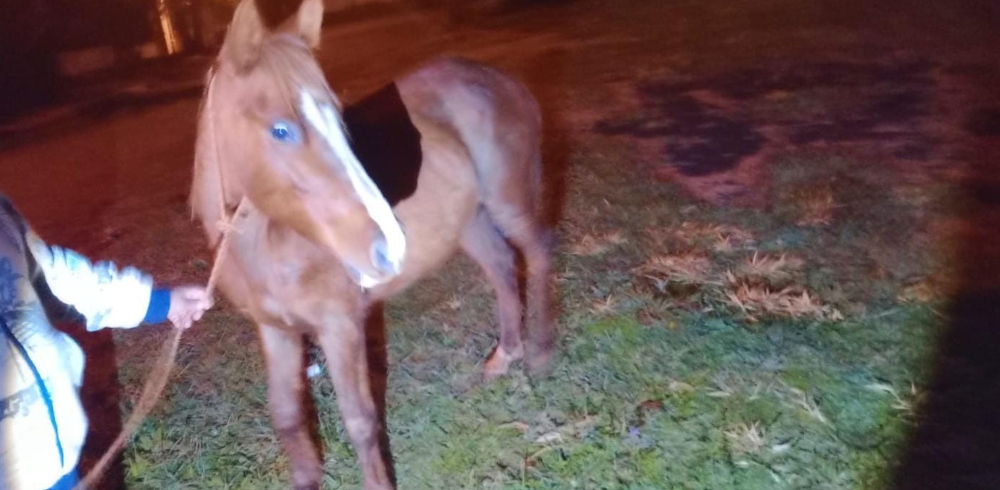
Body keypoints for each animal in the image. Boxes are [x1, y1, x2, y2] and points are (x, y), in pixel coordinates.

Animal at [188, 0, 555, 488]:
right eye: (281, 130)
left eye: (338, 119)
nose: (390, 248)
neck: (264, 246)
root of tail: (502, 78)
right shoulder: (276, 331)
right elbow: (287, 417)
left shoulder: (340, 325)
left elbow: (360, 420)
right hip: (469, 220)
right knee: (500, 265)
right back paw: (505, 355)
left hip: (507, 201)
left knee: (538, 252)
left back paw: (541, 355)